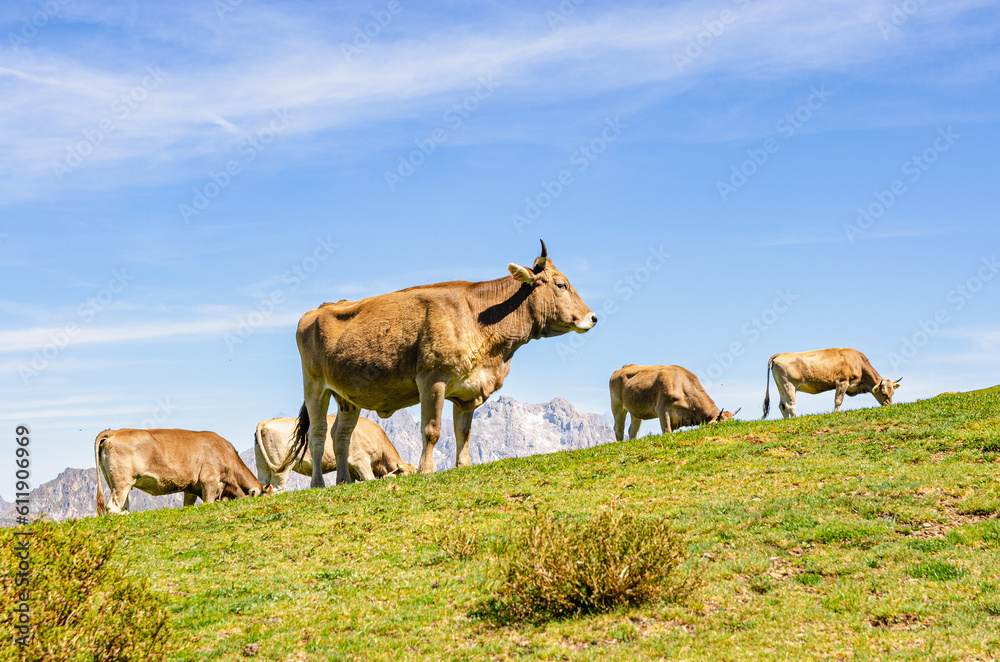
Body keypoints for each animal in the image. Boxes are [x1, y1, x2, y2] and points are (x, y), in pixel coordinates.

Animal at [94, 430, 274, 520]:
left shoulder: (191, 488)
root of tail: (114, 431)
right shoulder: (209, 481)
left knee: (122, 504)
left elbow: (188, 505)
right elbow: (208, 502)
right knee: (113, 507)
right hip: (122, 481)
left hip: (115, 481)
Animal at [258, 416, 418, 492]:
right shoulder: (360, 460)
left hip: (263, 466)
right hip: (282, 466)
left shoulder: (350, 470)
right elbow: (370, 479)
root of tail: (265, 422)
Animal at [286, 243, 596, 488]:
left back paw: (343, 480)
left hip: (347, 397)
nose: (592, 317)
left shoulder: (468, 391)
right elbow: (431, 429)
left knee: (341, 436)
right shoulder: (432, 380)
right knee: (318, 434)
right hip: (314, 386)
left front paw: (463, 465)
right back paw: (318, 483)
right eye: (561, 284)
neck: (478, 316)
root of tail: (319, 309)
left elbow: (463, 431)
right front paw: (426, 469)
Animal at [604, 364, 740, 440]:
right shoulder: (662, 409)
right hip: (617, 406)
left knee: (632, 430)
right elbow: (667, 430)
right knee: (618, 429)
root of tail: (624, 367)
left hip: (635, 409)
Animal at [760, 348, 904, 420]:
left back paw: (787, 420)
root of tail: (781, 354)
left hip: (781, 387)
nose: (889, 406)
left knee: (782, 405)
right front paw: (834, 413)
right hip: (789, 385)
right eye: (883, 393)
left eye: (893, 393)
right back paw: (795, 419)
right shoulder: (842, 382)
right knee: (790, 405)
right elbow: (838, 401)